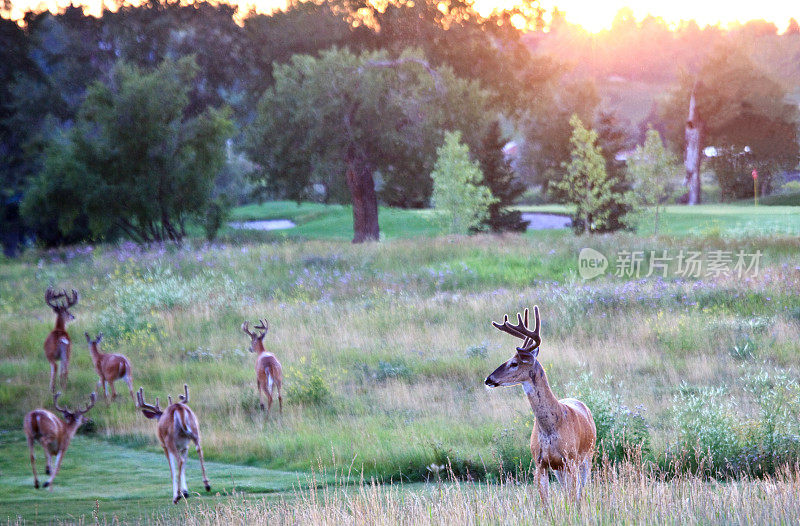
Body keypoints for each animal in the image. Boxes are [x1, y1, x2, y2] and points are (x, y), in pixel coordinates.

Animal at [484, 308, 596, 506]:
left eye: (514, 363)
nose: (488, 379)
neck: (551, 427)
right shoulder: (540, 463)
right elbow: (546, 503)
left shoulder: (571, 459)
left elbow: (573, 498)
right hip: (559, 469)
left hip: (587, 456)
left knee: (582, 492)